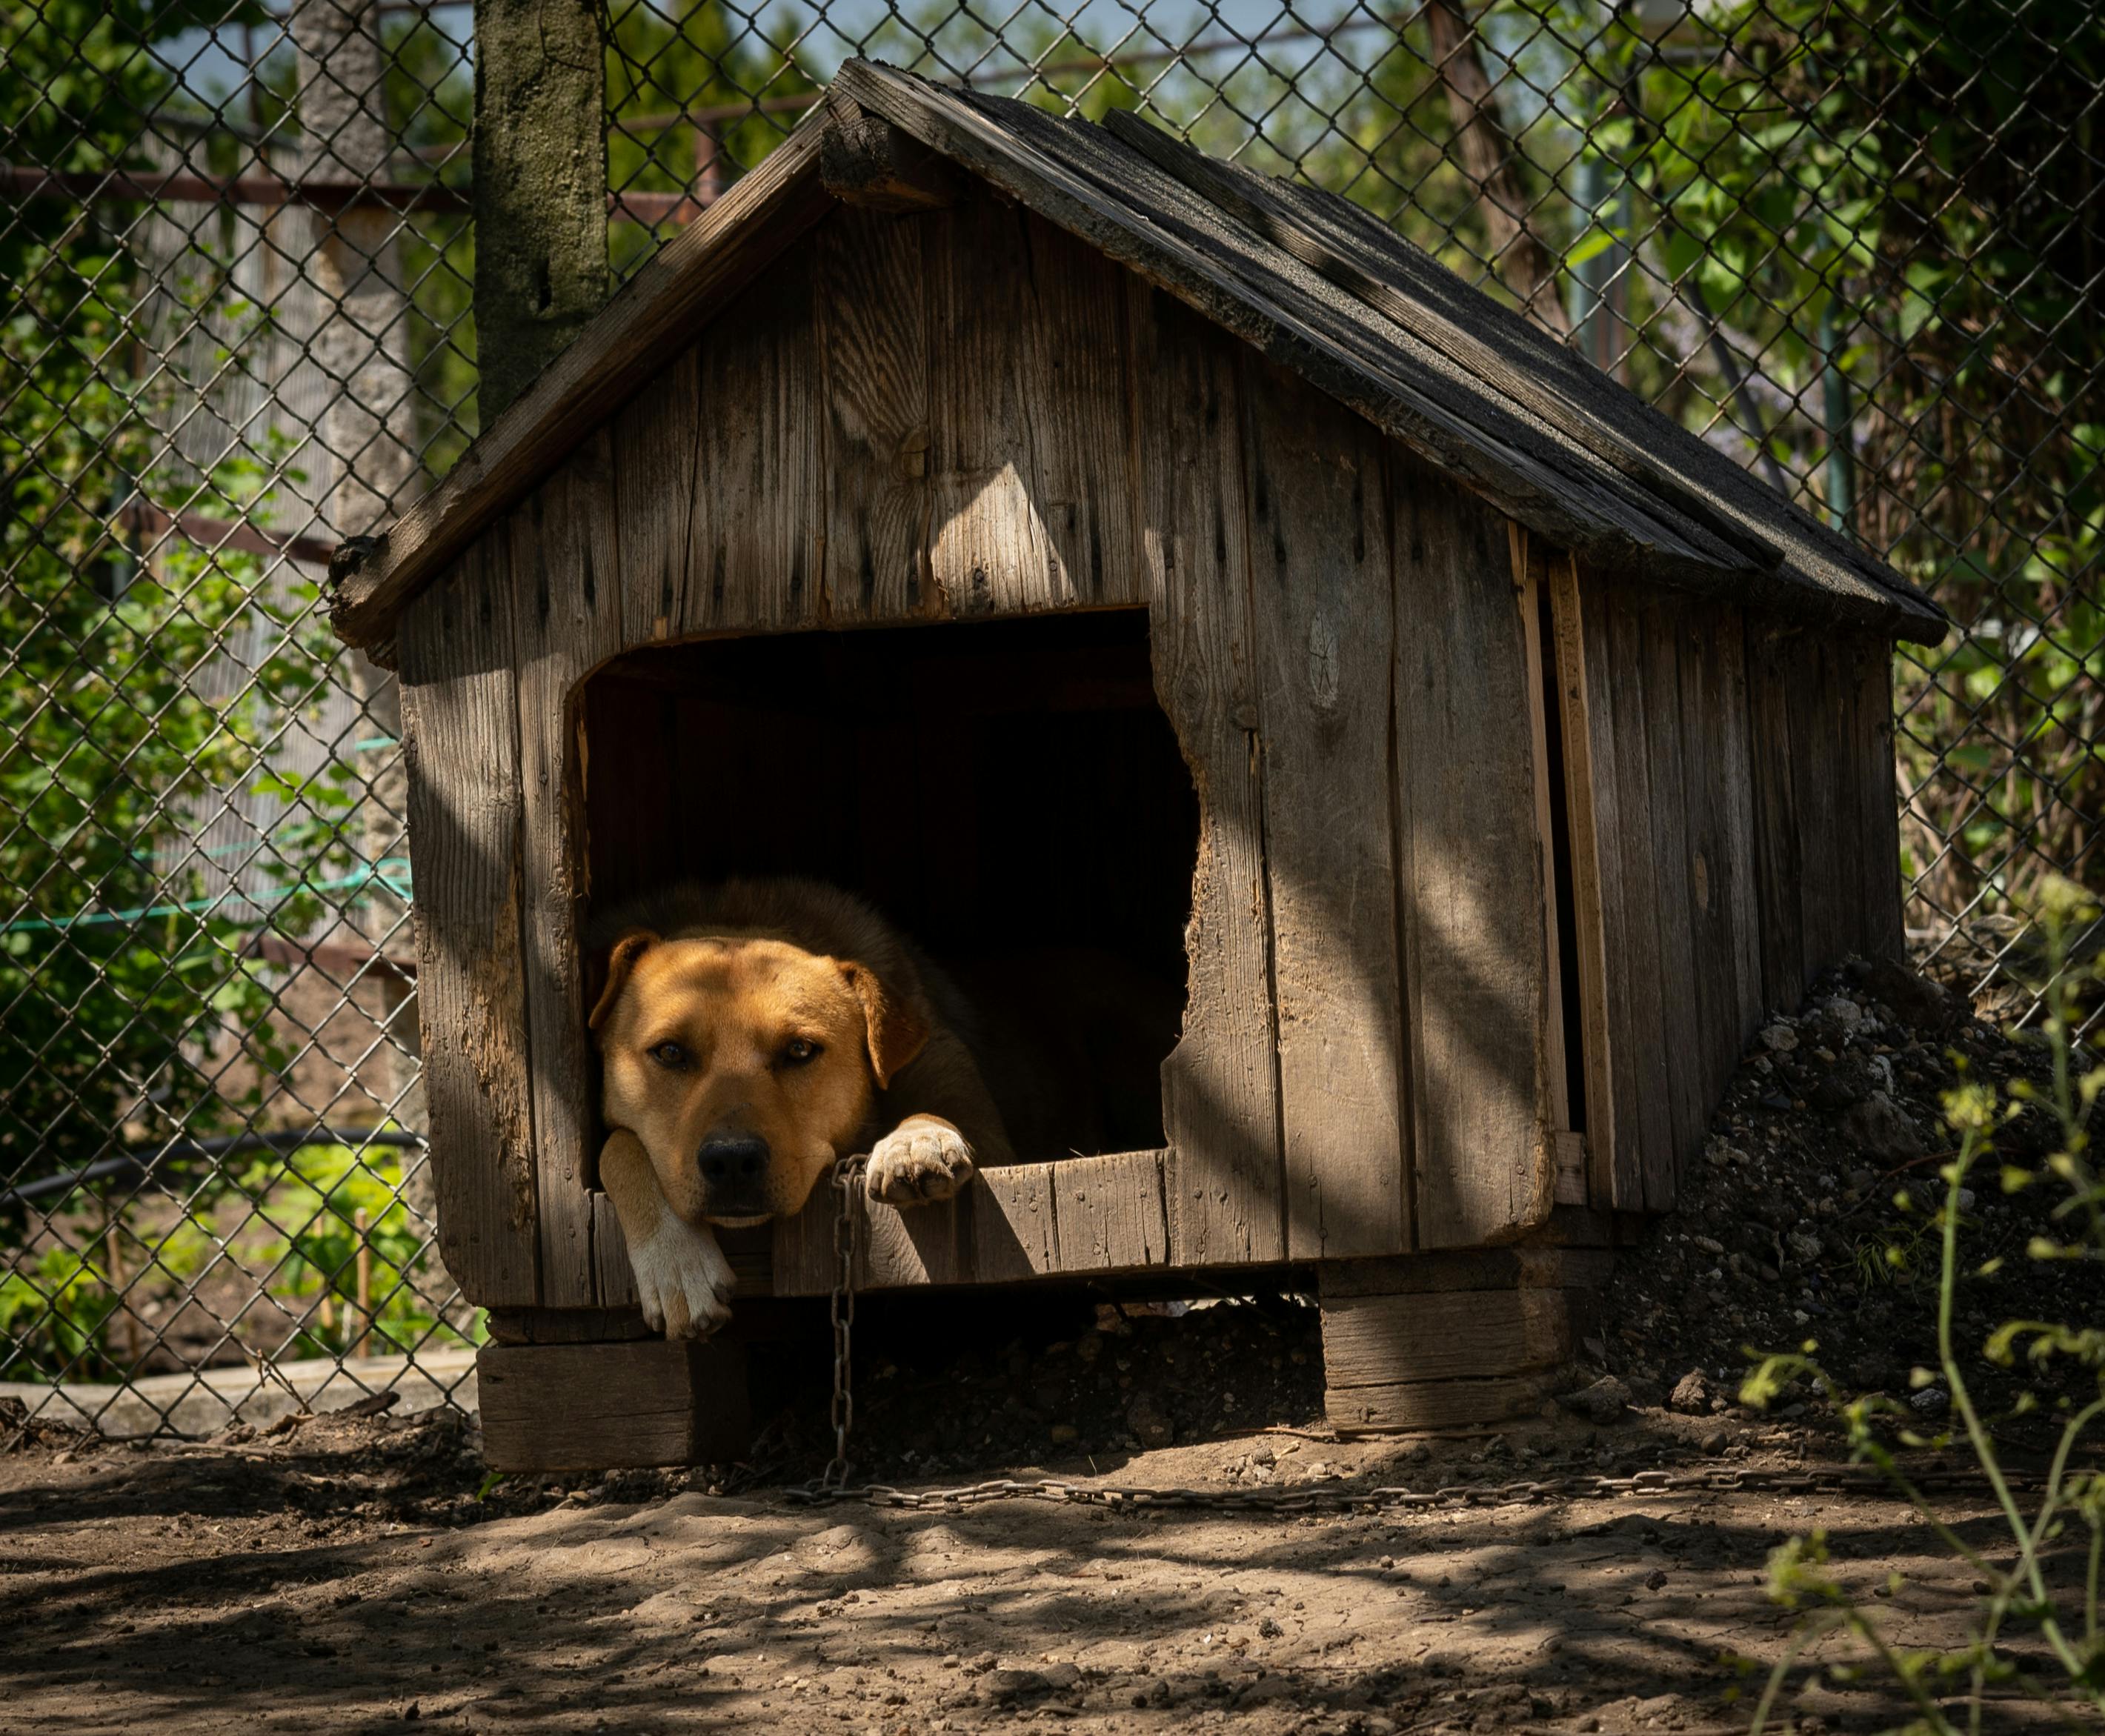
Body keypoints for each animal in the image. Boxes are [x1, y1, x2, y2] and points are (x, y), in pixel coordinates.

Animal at [589, 879, 1014, 1338]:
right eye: (669, 1052)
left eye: (800, 1050)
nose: (732, 1161)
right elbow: (618, 1146)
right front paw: (677, 1262)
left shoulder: (986, 1129)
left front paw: (916, 1139)